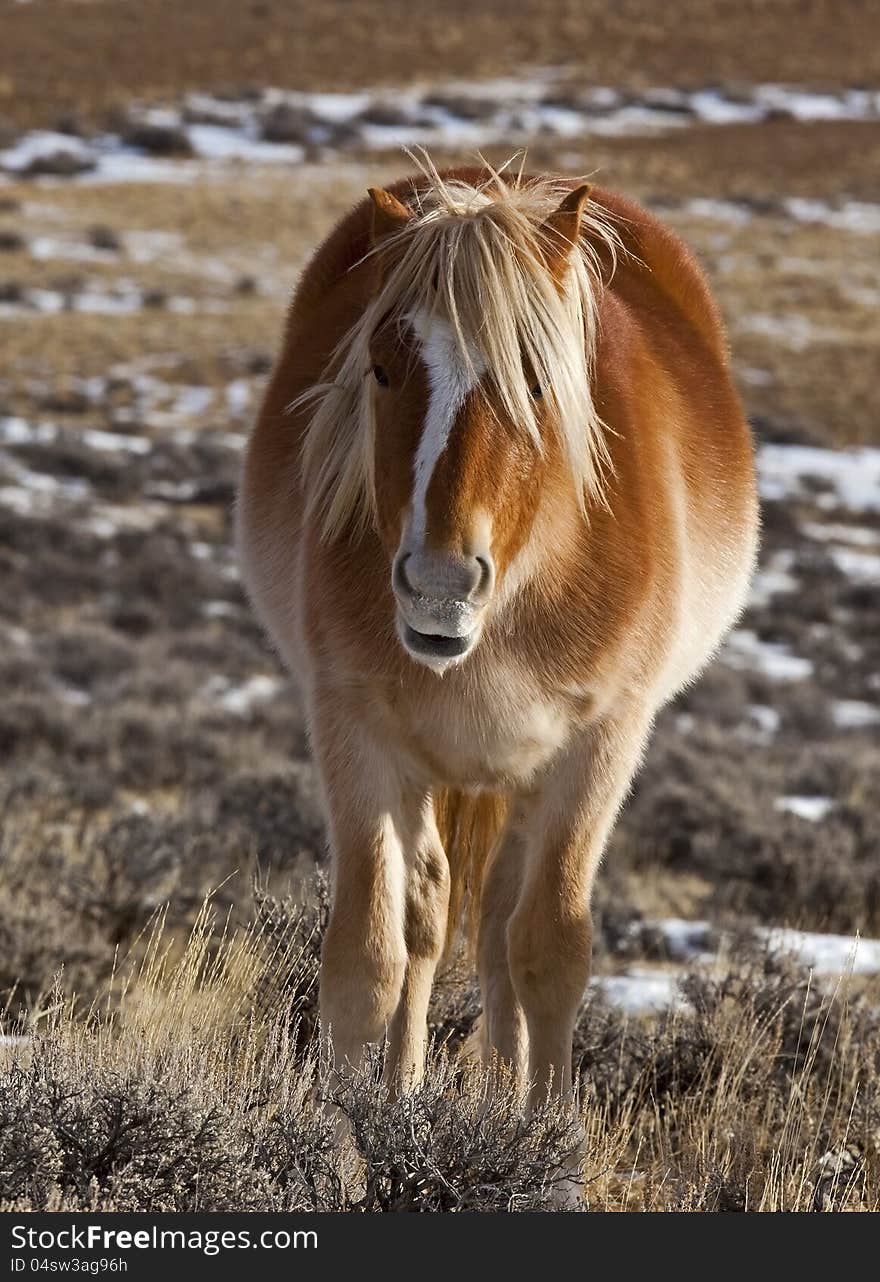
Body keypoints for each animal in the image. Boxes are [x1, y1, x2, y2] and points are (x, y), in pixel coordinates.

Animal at [237, 162, 759, 1112]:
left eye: (538, 380)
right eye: (380, 368)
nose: (438, 587)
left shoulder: (601, 743)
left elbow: (549, 953)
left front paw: (543, 1136)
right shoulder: (353, 732)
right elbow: (367, 962)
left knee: (500, 931)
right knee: (430, 919)